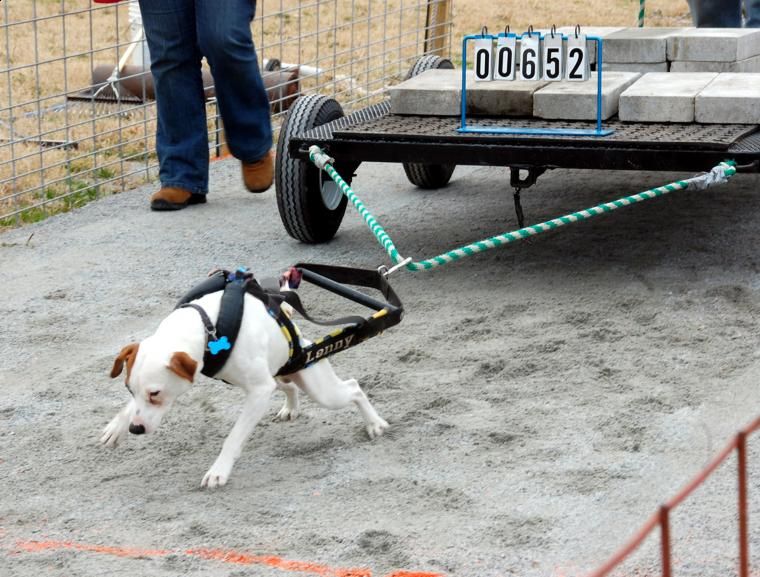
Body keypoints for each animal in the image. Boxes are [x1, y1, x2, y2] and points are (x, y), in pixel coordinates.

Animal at [101, 288, 386, 486]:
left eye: (155, 393)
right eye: (129, 390)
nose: (135, 429)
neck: (209, 326)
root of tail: (301, 341)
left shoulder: (259, 392)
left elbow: (234, 437)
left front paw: (218, 470)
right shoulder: (261, 387)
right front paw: (117, 426)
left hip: (320, 390)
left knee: (353, 388)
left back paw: (374, 423)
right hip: (278, 376)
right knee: (289, 388)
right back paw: (290, 407)